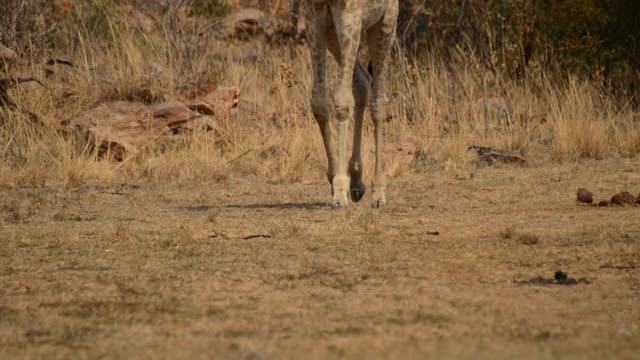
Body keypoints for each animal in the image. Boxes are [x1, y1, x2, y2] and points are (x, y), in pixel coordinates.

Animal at [304, 0, 396, 208]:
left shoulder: (350, 17)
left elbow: (343, 101)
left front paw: (339, 192)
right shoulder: (314, 19)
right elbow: (319, 102)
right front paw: (335, 181)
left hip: (385, 23)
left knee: (378, 99)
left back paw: (378, 194)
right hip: (333, 33)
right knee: (362, 82)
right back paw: (356, 182)